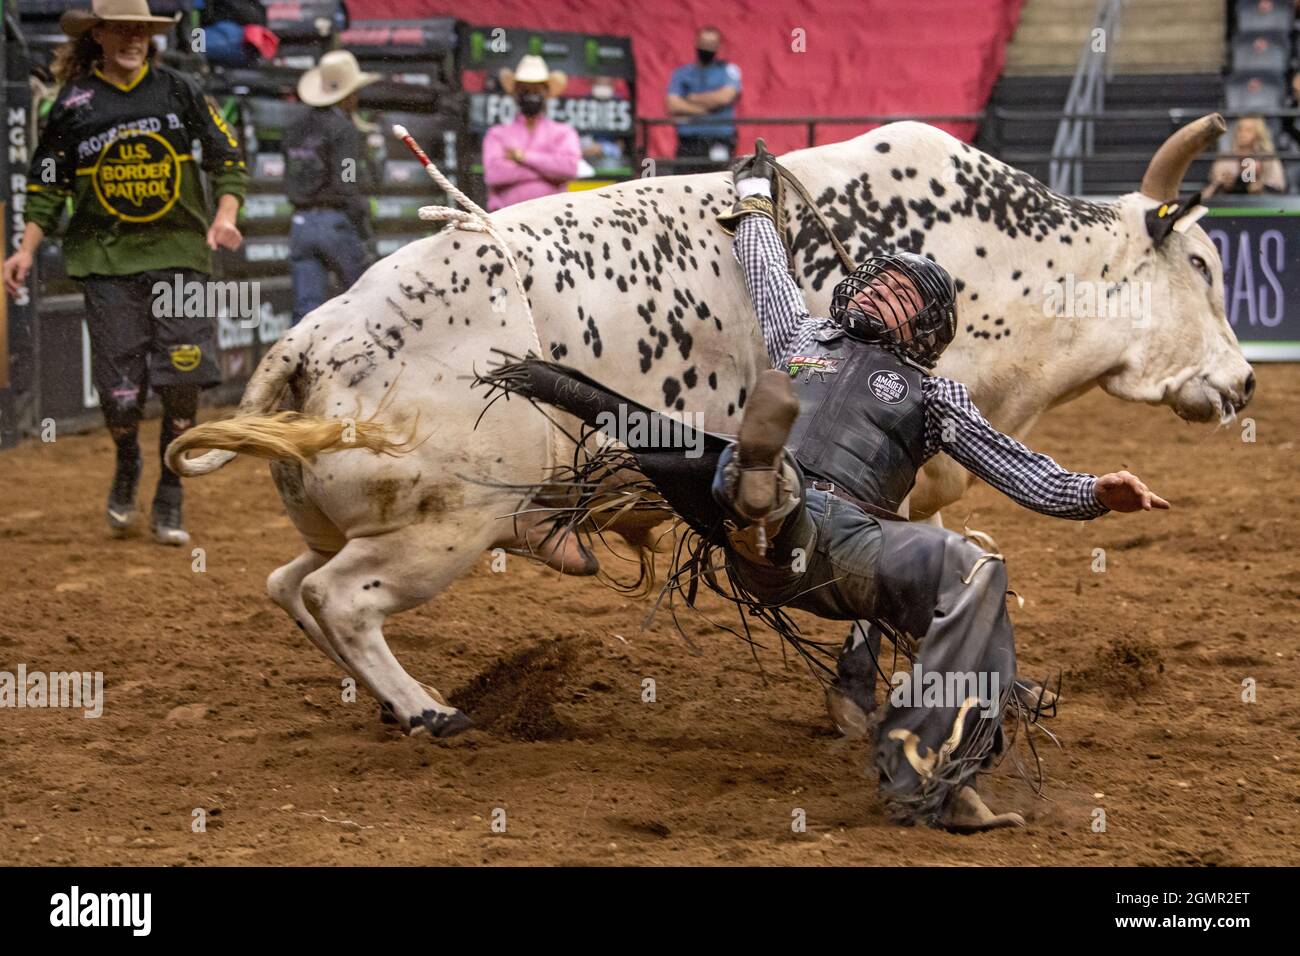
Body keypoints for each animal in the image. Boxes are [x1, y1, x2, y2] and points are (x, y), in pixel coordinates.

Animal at [165, 113, 1248, 738]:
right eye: (1200, 263)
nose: (1240, 382)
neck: (1007, 262)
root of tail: (307, 341)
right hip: (447, 524)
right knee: (341, 599)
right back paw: (430, 710)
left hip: (361, 521)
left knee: (292, 587)